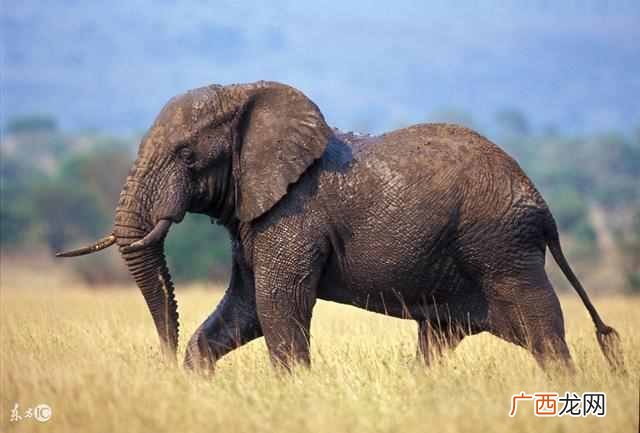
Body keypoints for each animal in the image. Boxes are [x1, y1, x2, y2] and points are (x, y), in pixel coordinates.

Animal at [58, 81, 624, 373]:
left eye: (187, 155)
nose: (162, 359)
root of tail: (543, 205)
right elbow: (245, 309)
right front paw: (196, 376)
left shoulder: (293, 214)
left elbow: (277, 304)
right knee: (437, 341)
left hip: (501, 248)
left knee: (544, 332)